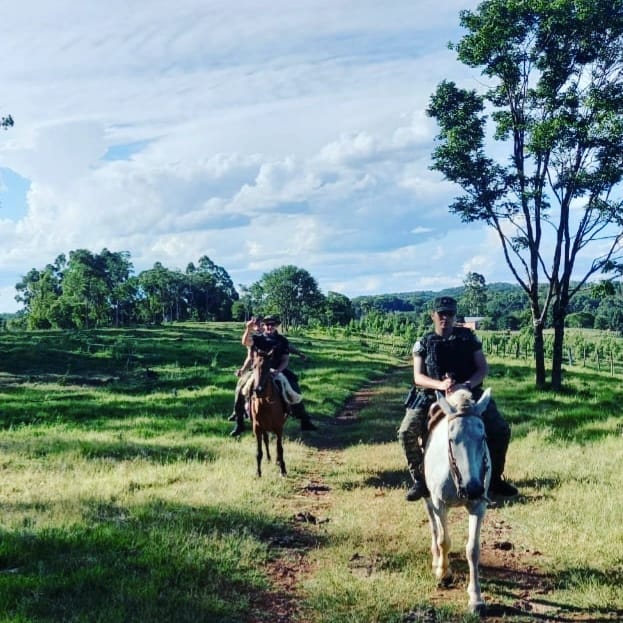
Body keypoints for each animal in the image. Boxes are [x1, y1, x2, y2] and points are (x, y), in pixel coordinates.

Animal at [250, 346, 288, 478]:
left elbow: (280, 448)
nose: (258, 390)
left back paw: (277, 461)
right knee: (266, 440)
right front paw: (258, 472)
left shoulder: (279, 427)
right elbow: (258, 451)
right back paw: (269, 458)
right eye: (253, 366)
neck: (266, 404)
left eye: (268, 367)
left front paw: (283, 470)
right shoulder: (257, 428)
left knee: (277, 445)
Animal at [424, 390, 492, 616]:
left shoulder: (478, 507)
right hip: (428, 499)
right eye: (452, 439)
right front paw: (444, 573)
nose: (473, 489)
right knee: (434, 528)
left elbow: (473, 550)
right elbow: (444, 540)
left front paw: (476, 598)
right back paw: (436, 561)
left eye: (483, 437)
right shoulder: (440, 504)